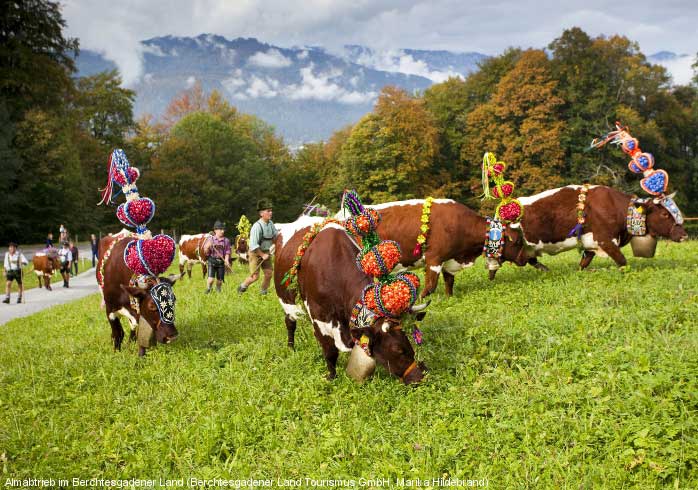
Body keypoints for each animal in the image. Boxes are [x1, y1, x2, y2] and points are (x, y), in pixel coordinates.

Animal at [274, 216, 426, 384]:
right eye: (398, 349)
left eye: (409, 342)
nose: (419, 377)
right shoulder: (320, 317)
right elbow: (330, 351)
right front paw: (331, 377)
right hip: (286, 300)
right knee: (290, 323)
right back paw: (291, 347)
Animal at [334, 200, 524, 298]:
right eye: (517, 242)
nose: (525, 259)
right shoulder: (434, 259)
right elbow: (430, 286)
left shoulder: (449, 259)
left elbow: (449, 281)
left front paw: (449, 298)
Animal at [512, 185, 684, 270]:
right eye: (665, 214)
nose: (684, 235)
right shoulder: (605, 240)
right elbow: (622, 261)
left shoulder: (589, 242)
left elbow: (584, 263)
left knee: (531, 260)